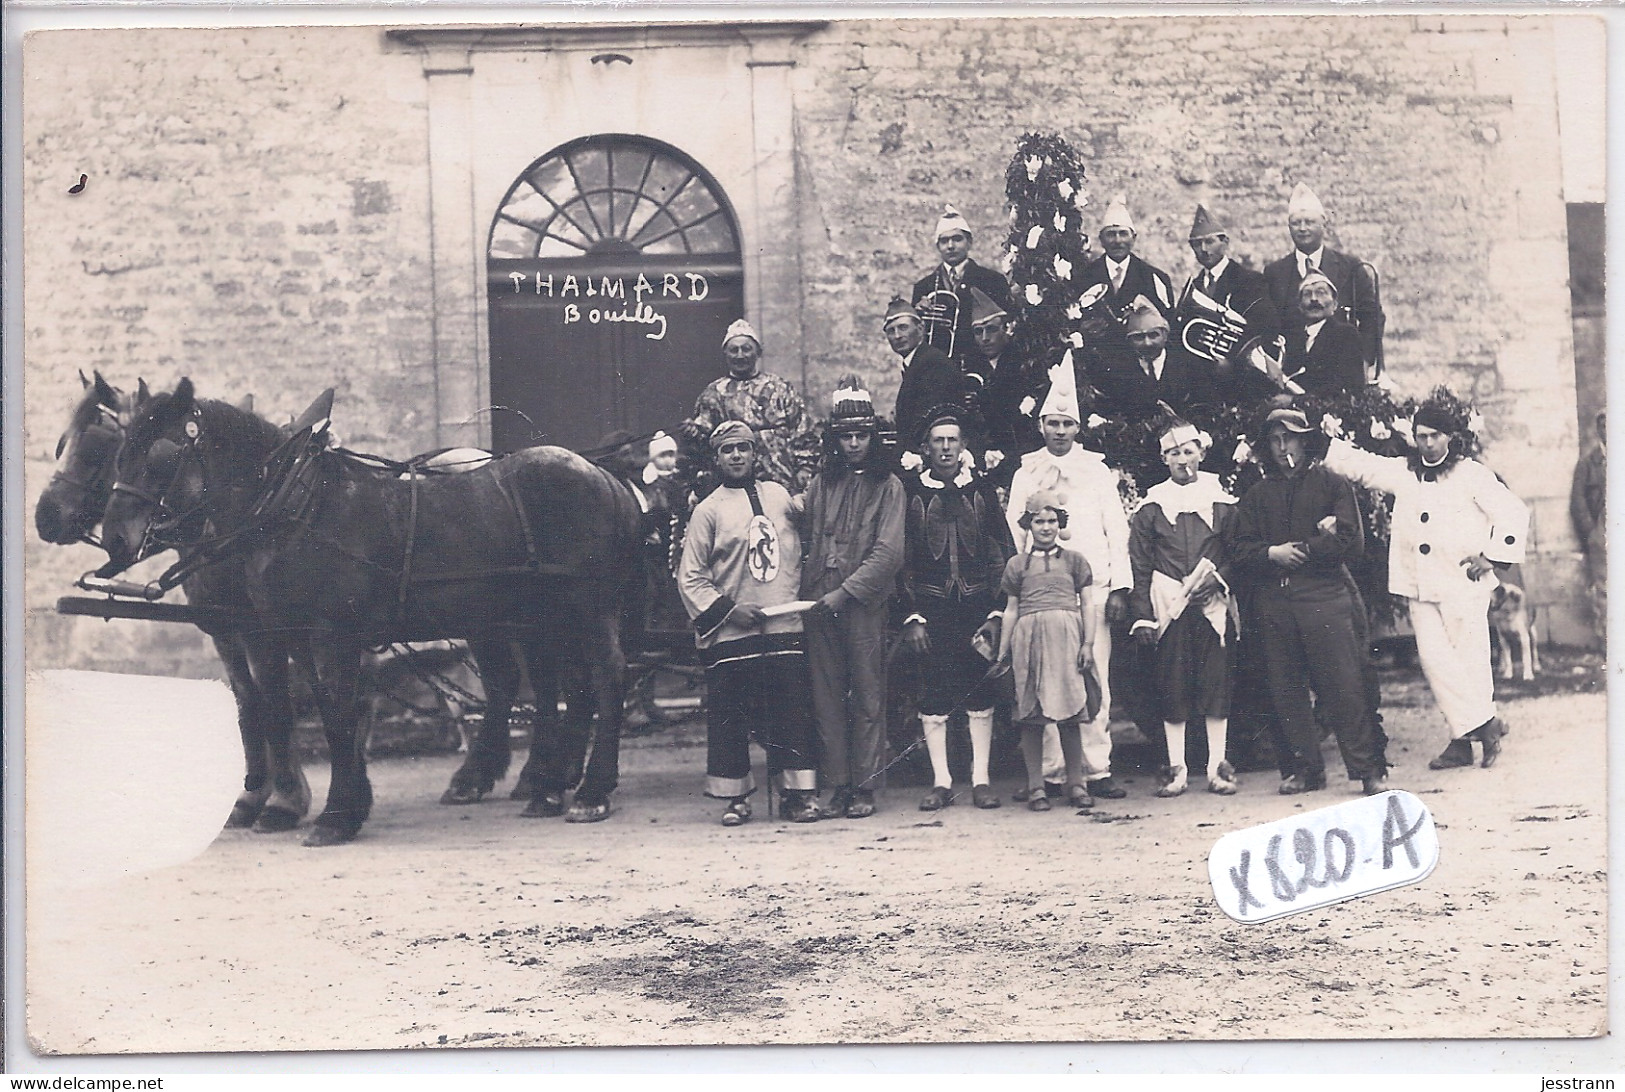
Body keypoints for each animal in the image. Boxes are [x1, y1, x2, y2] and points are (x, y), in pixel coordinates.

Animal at [96, 380, 646, 851]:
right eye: (120, 452)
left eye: (160, 455)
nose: (116, 538)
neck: (297, 507)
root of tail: (604, 476)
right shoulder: (295, 633)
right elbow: (326, 710)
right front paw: (347, 804)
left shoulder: (327, 633)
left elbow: (338, 714)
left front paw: (335, 815)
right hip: (540, 613)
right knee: (565, 686)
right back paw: (547, 788)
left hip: (586, 604)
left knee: (606, 675)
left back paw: (590, 792)